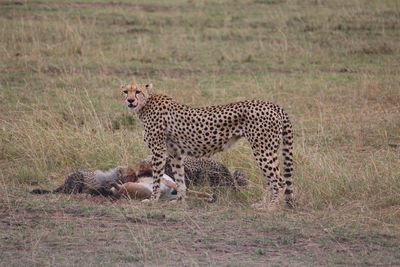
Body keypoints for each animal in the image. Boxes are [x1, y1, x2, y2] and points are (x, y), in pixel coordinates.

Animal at [121, 83, 294, 209]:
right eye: (125, 91)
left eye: (138, 92)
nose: (130, 100)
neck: (145, 105)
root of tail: (273, 105)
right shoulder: (175, 153)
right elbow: (180, 179)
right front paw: (180, 200)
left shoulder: (159, 151)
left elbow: (157, 179)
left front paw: (153, 199)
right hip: (265, 150)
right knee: (272, 181)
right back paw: (262, 203)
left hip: (263, 150)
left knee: (279, 181)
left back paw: (270, 207)